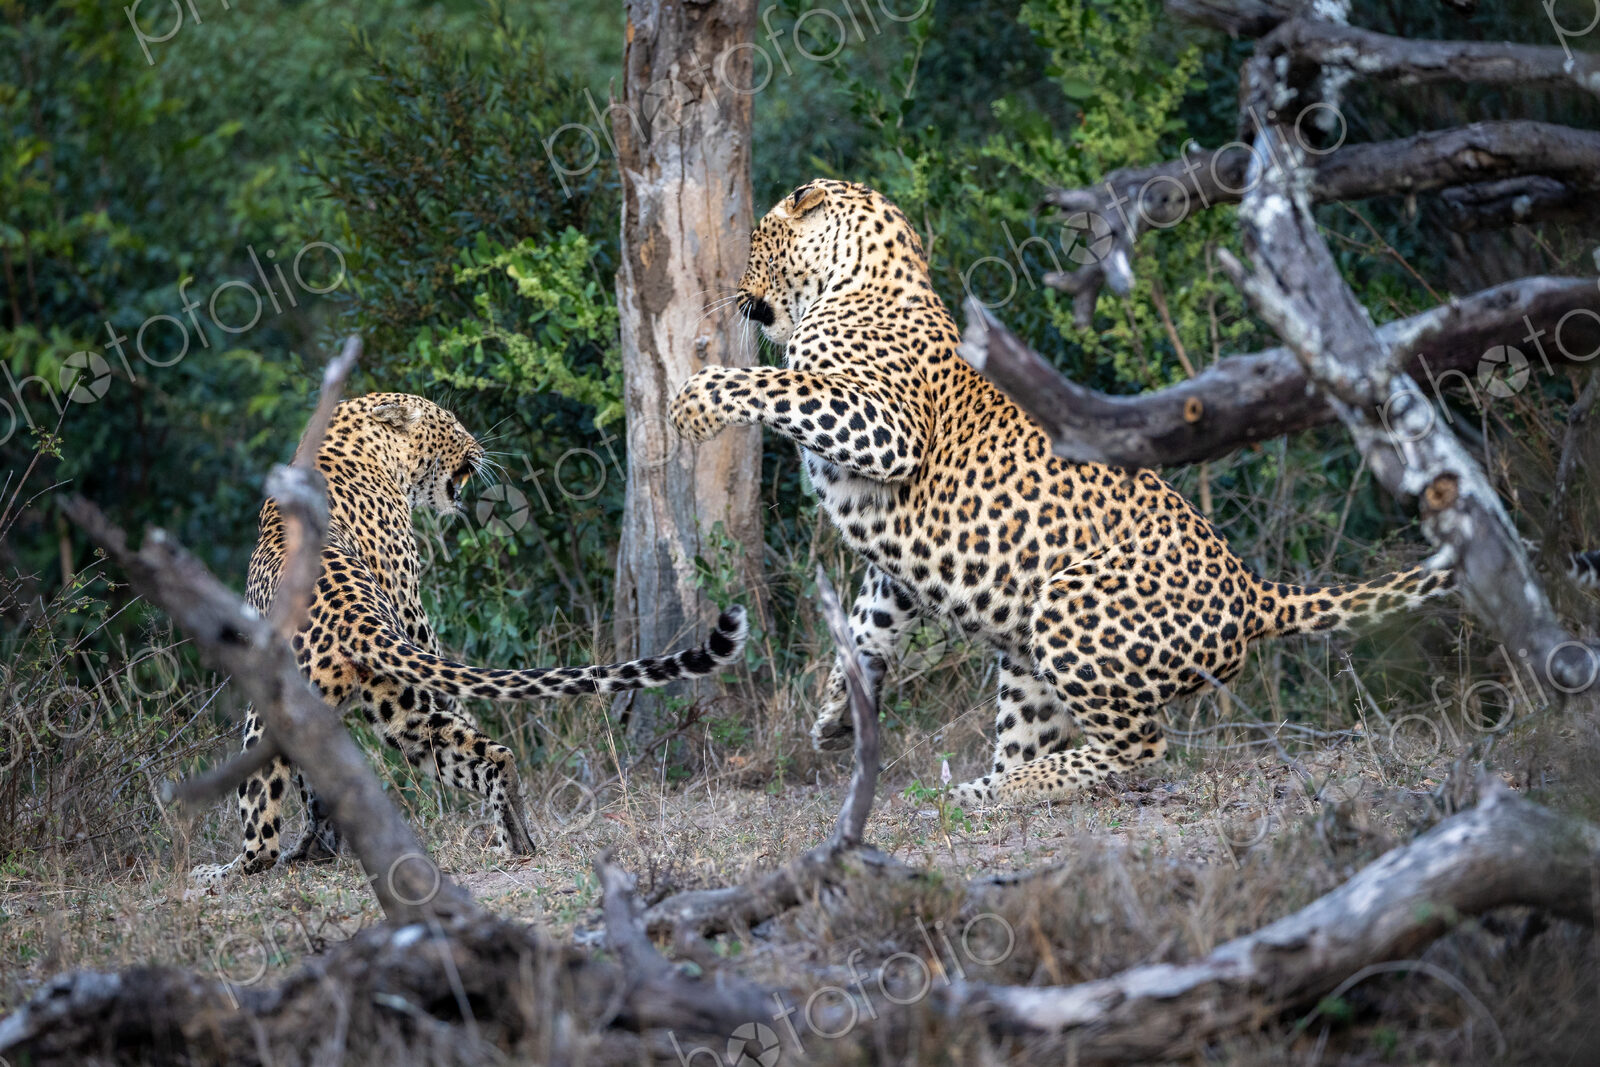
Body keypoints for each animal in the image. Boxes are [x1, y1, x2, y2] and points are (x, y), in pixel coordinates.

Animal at [191, 392, 746, 884]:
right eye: (453, 426)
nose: (479, 448)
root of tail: (353, 619)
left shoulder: (412, 614)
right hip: (392, 705)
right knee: (484, 751)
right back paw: (513, 836)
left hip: (285, 709)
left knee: (263, 834)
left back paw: (229, 870)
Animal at [668, 178, 1460, 808]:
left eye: (757, 241)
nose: (738, 292)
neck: (859, 278)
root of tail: (1255, 592)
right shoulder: (893, 568)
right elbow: (866, 629)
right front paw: (838, 714)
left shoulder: (884, 428)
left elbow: (772, 382)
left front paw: (693, 406)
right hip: (1027, 659)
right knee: (1048, 735)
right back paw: (992, 789)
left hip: (1069, 605)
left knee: (1142, 746)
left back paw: (1002, 786)